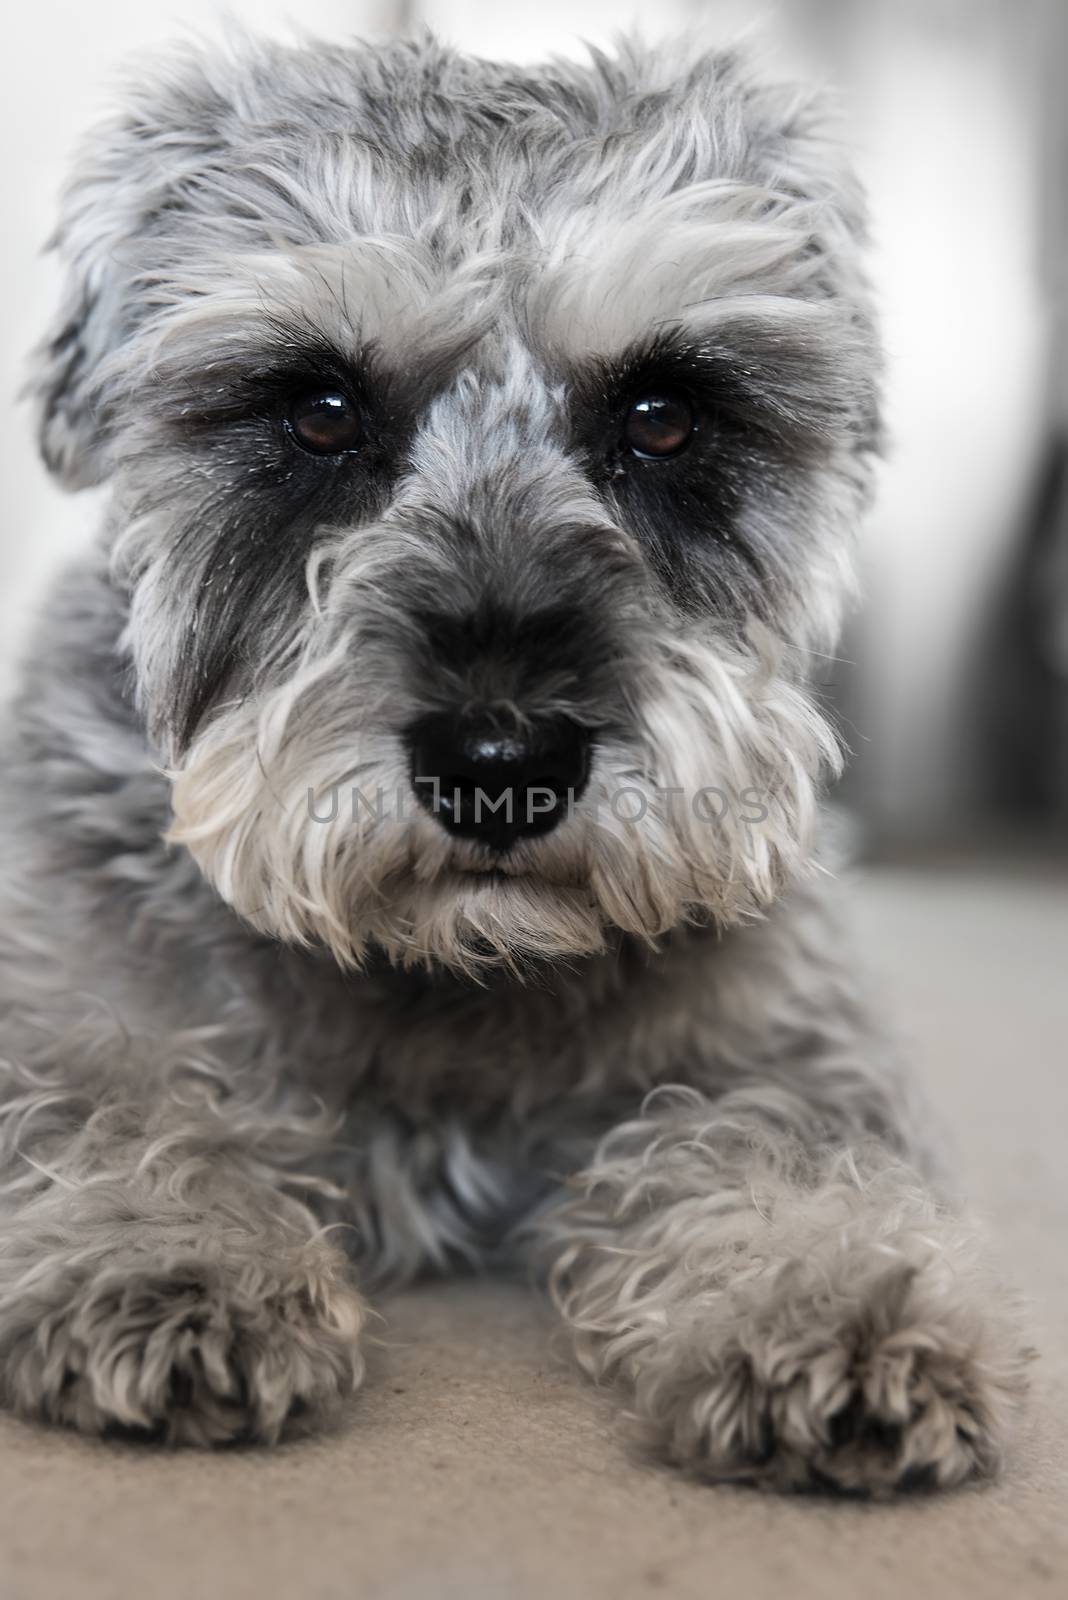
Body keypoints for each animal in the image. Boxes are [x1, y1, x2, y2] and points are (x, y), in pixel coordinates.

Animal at [2, 31, 1036, 1491]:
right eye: (318, 411)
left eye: (665, 417)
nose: (502, 761)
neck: (452, 972)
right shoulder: (74, 1000)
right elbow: (113, 1096)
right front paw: (169, 1255)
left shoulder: (782, 1039)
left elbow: (784, 1139)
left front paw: (832, 1296)